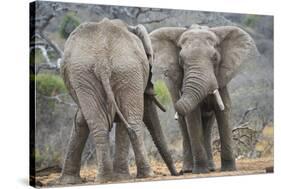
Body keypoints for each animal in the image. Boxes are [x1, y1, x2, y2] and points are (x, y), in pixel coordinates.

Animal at [59, 18, 177, 184]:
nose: (177, 173)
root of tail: (101, 61)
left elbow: (81, 119)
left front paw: (68, 181)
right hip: (120, 71)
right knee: (130, 121)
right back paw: (144, 175)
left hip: (96, 74)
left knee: (102, 123)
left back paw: (106, 178)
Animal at [150, 24, 258, 174]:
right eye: (181, 60)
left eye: (215, 58)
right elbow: (192, 116)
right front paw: (200, 171)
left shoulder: (221, 79)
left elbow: (224, 110)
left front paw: (229, 169)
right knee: (184, 124)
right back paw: (189, 169)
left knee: (207, 124)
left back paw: (211, 168)